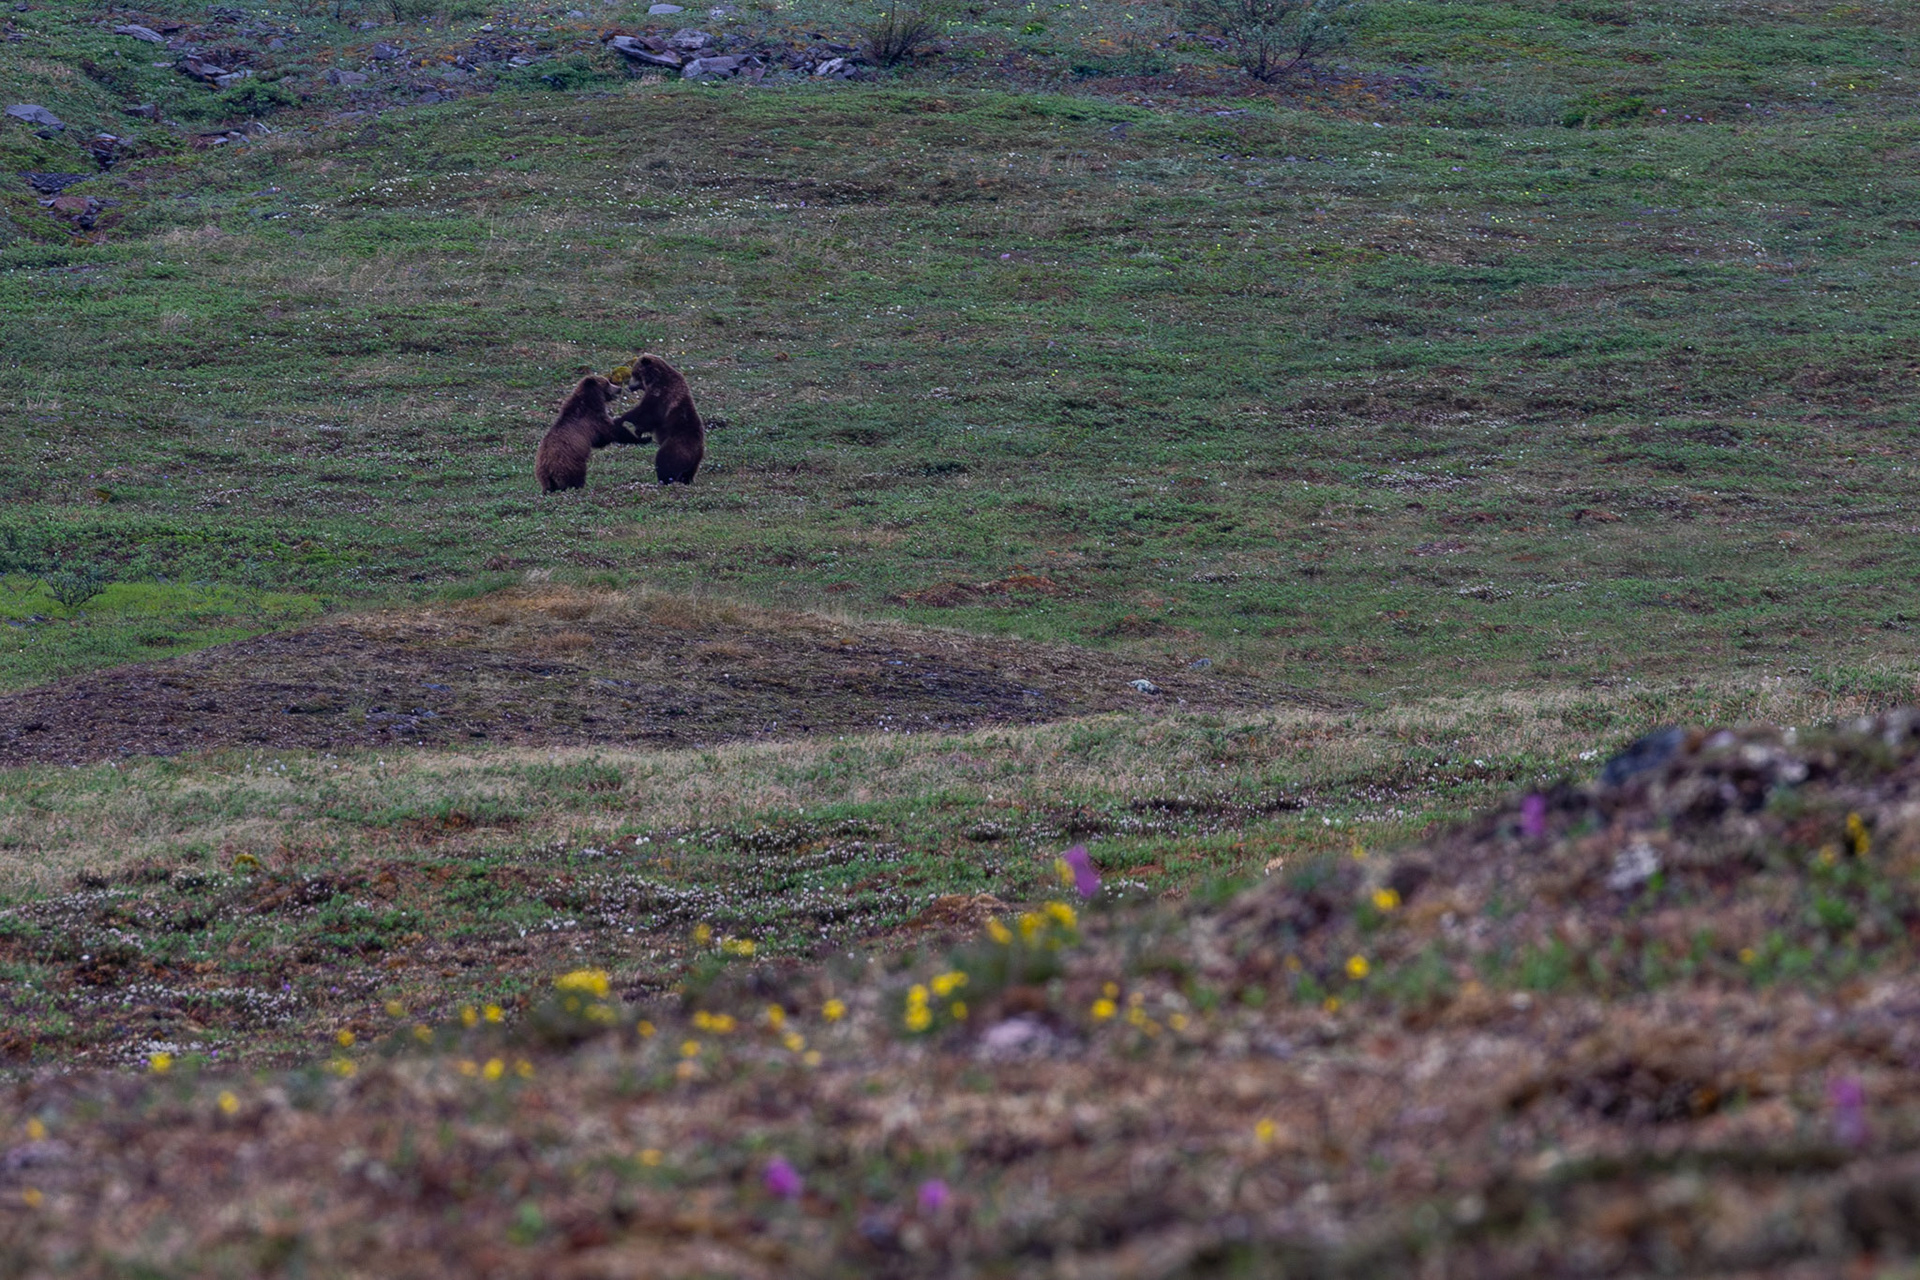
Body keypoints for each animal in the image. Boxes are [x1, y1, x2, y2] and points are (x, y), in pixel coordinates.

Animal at [613, 353, 707, 485]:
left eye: (634, 373)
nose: (630, 387)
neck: (654, 380)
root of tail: (697, 451)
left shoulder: (661, 395)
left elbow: (645, 413)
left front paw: (621, 419)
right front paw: (637, 431)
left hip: (676, 445)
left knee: (664, 460)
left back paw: (663, 479)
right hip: (694, 462)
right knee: (688, 473)